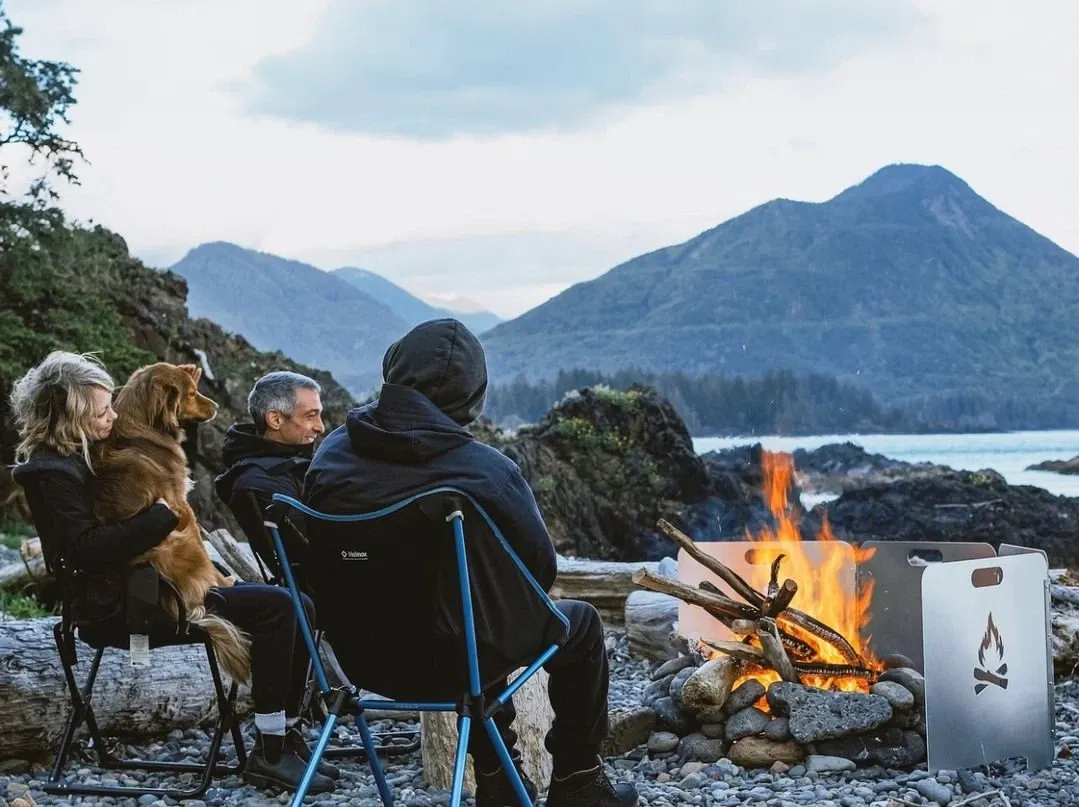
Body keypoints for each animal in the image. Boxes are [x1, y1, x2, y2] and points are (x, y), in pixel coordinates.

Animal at [91, 360, 250, 681]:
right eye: (190, 394)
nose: (216, 405)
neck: (144, 426)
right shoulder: (182, 508)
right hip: (182, 540)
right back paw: (226, 581)